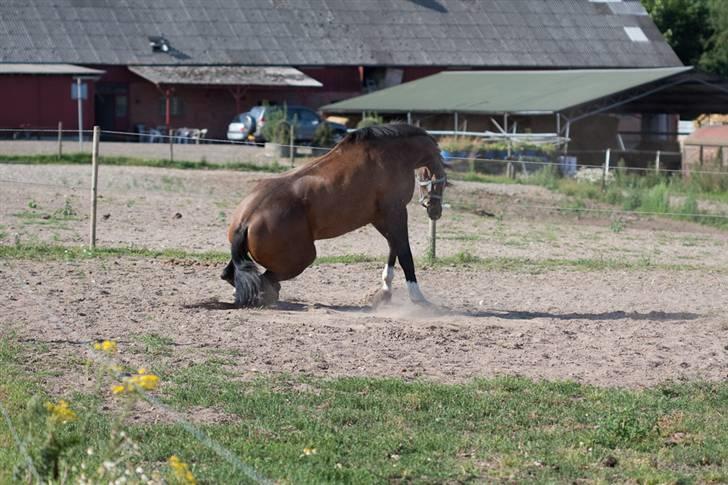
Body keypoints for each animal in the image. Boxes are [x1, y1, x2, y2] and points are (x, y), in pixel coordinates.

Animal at [223, 124, 450, 306]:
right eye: (444, 180)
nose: (435, 211)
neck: (392, 156)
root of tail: (247, 220)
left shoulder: (382, 217)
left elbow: (393, 247)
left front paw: (385, 291)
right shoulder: (394, 212)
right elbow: (404, 253)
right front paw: (417, 297)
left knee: (231, 275)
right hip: (301, 258)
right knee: (264, 281)